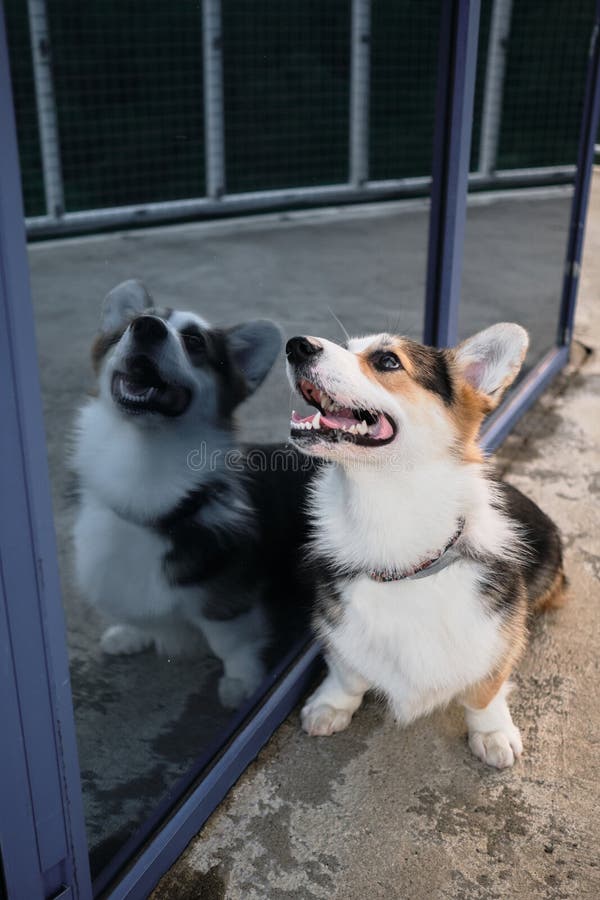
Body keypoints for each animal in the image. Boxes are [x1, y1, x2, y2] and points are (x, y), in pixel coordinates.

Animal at [73, 282, 316, 712]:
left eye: (194, 341)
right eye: (126, 327)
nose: (146, 327)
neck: (143, 459)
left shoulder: (223, 598)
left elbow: (231, 644)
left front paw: (242, 684)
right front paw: (130, 634)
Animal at [286, 324, 568, 768]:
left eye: (387, 361)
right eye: (347, 348)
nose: (295, 346)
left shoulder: (498, 633)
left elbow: (485, 690)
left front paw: (492, 733)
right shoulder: (336, 622)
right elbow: (347, 671)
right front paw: (332, 705)